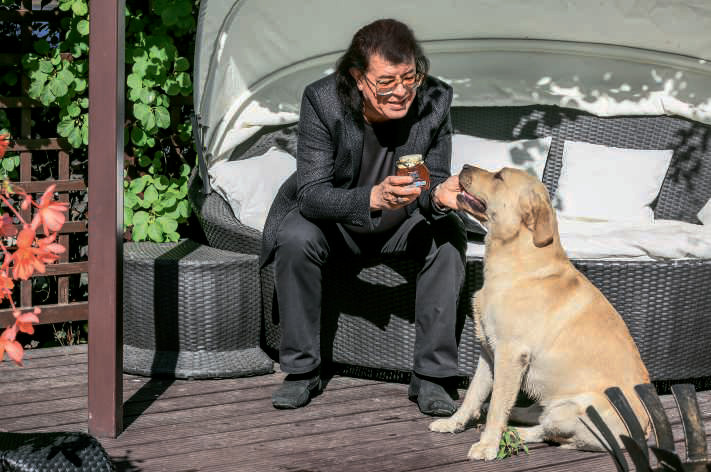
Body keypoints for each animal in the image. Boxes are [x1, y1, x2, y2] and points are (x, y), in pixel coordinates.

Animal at [429, 165, 650, 460]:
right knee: (538, 415)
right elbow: (474, 394)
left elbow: (498, 405)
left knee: (549, 432)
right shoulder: (488, 351)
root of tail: (646, 432)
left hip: (575, 408)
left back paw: (513, 433)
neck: (517, 256)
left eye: (499, 176)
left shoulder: (510, 354)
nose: (464, 167)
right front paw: (453, 423)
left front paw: (487, 446)